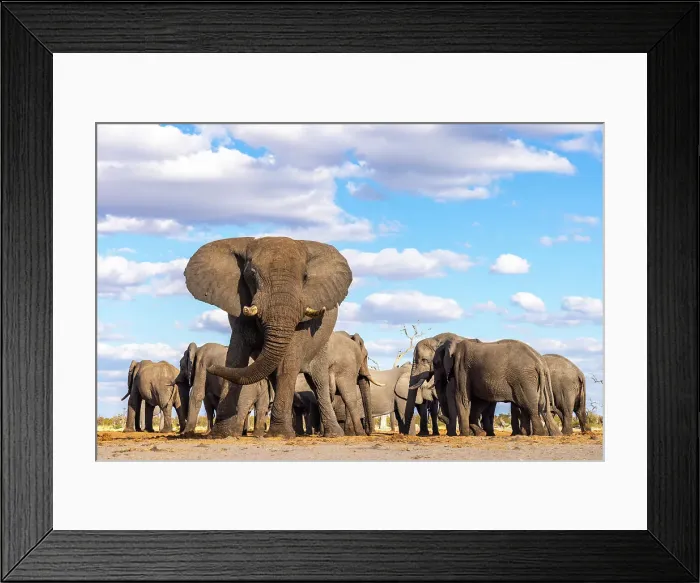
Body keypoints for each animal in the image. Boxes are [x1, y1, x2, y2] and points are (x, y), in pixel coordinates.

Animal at [184, 236, 353, 438]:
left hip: (322, 343)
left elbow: (288, 364)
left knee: (318, 382)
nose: (210, 367)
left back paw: (333, 434)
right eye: (251, 275)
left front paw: (279, 435)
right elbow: (235, 360)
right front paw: (221, 434)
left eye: (305, 277)